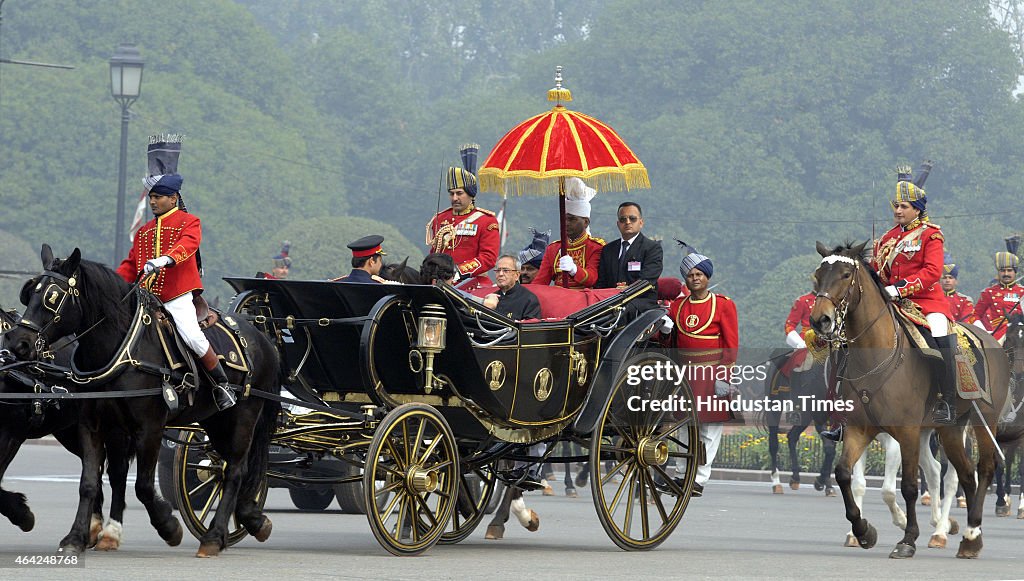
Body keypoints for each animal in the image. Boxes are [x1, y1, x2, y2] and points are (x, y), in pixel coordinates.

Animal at [4, 246, 280, 557]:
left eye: (52, 297)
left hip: (243, 417)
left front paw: (169, 526)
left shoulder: (149, 428)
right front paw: (75, 537)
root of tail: (263, 337)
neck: (121, 349)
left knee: (234, 470)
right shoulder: (93, 426)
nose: (17, 342)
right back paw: (249, 519)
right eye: (30, 293)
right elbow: (89, 482)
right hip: (214, 422)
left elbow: (144, 486)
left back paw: (214, 535)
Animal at [811, 241, 1011, 557]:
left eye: (845, 274)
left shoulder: (906, 432)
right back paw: (968, 538)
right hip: (950, 429)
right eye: (817, 276)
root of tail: (992, 340)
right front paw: (863, 530)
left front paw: (907, 538)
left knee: (984, 469)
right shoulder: (858, 429)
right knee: (966, 473)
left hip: (983, 422)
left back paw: (969, 532)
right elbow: (844, 474)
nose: (820, 320)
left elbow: (907, 486)